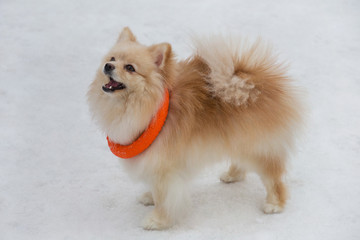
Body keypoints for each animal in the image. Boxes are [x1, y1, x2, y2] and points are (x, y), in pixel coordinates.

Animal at [87, 27, 304, 230]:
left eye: (130, 68)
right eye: (112, 58)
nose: (108, 66)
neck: (149, 108)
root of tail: (256, 81)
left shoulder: (164, 166)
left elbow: (164, 196)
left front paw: (158, 220)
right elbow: (155, 188)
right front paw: (150, 197)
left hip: (257, 147)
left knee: (273, 177)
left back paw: (275, 203)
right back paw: (233, 175)